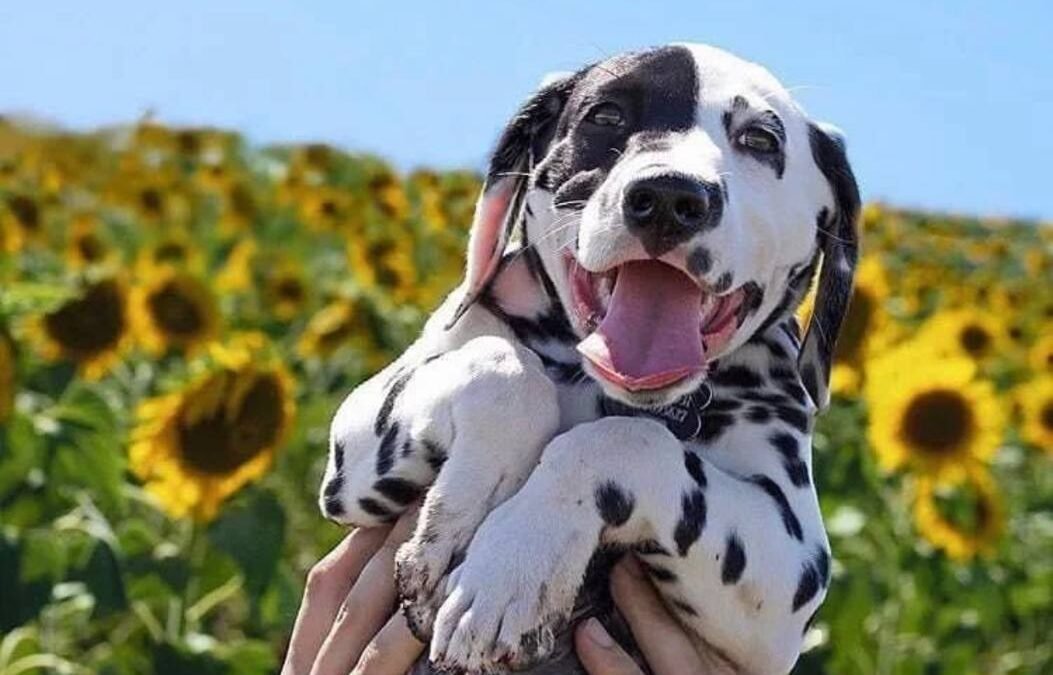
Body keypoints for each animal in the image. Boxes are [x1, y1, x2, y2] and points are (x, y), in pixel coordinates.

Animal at [318, 43, 855, 673]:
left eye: (760, 139)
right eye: (606, 115)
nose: (670, 198)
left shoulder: (791, 570)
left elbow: (623, 441)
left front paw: (509, 572)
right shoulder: (354, 446)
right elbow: (505, 372)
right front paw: (464, 519)